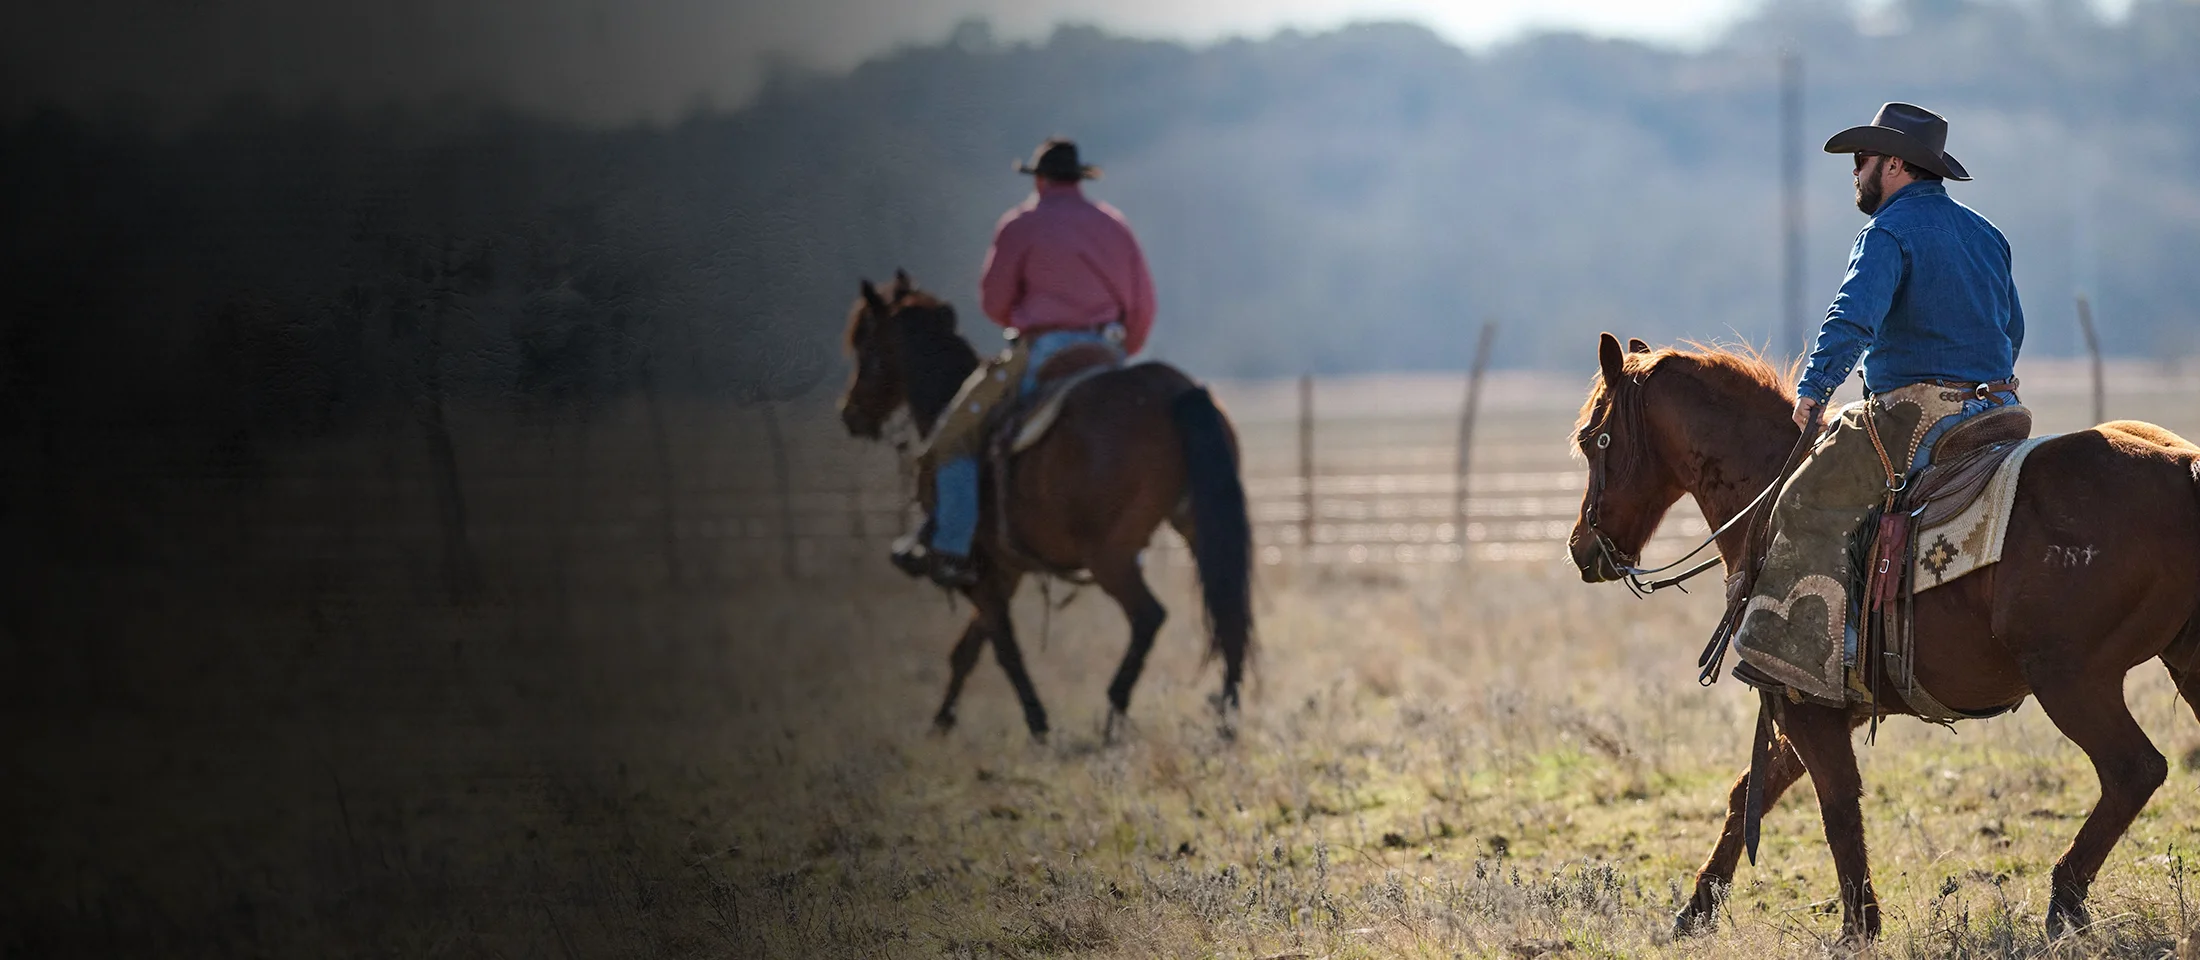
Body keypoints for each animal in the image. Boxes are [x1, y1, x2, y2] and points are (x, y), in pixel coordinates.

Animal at [836, 269, 1258, 744]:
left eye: (865, 345)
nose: (849, 414)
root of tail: (1174, 391)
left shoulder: (983, 571)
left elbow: (1003, 647)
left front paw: (1037, 726)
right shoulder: (1006, 570)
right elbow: (968, 647)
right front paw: (942, 722)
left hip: (1109, 554)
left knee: (1149, 616)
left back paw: (1114, 716)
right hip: (1199, 529)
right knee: (1230, 614)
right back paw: (1225, 721)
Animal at [1566, 330, 2200, 937]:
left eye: (1593, 439)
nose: (1581, 548)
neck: (1766, 499)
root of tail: (2183, 472)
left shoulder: (1805, 706)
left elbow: (1837, 806)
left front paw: (1857, 927)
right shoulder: (1820, 705)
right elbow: (1753, 791)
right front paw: (1695, 911)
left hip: (2071, 680)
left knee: (2133, 771)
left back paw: (2064, 904)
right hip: (2178, 665)